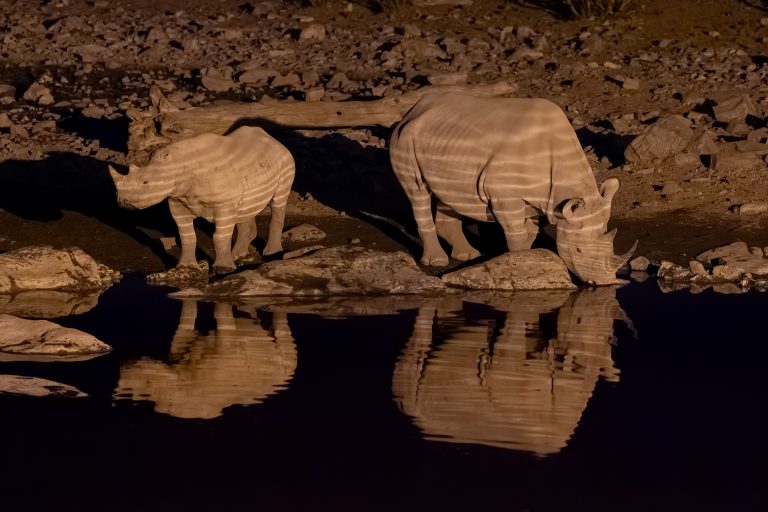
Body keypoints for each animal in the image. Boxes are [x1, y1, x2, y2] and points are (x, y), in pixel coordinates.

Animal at [110, 126, 295, 274]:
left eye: (145, 182)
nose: (123, 202)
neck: (179, 167)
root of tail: (273, 139)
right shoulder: (177, 202)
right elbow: (187, 236)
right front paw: (185, 267)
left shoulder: (223, 205)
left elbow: (219, 237)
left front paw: (223, 269)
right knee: (245, 208)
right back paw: (237, 255)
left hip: (286, 161)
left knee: (278, 201)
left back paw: (271, 253)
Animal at [389, 92, 636, 285]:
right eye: (578, 250)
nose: (605, 282)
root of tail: (412, 110)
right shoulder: (505, 196)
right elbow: (516, 235)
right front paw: (518, 266)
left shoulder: (542, 200)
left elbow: (529, 234)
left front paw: (525, 261)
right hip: (404, 139)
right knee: (418, 192)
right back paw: (438, 260)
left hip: (446, 142)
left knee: (449, 192)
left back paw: (468, 255)